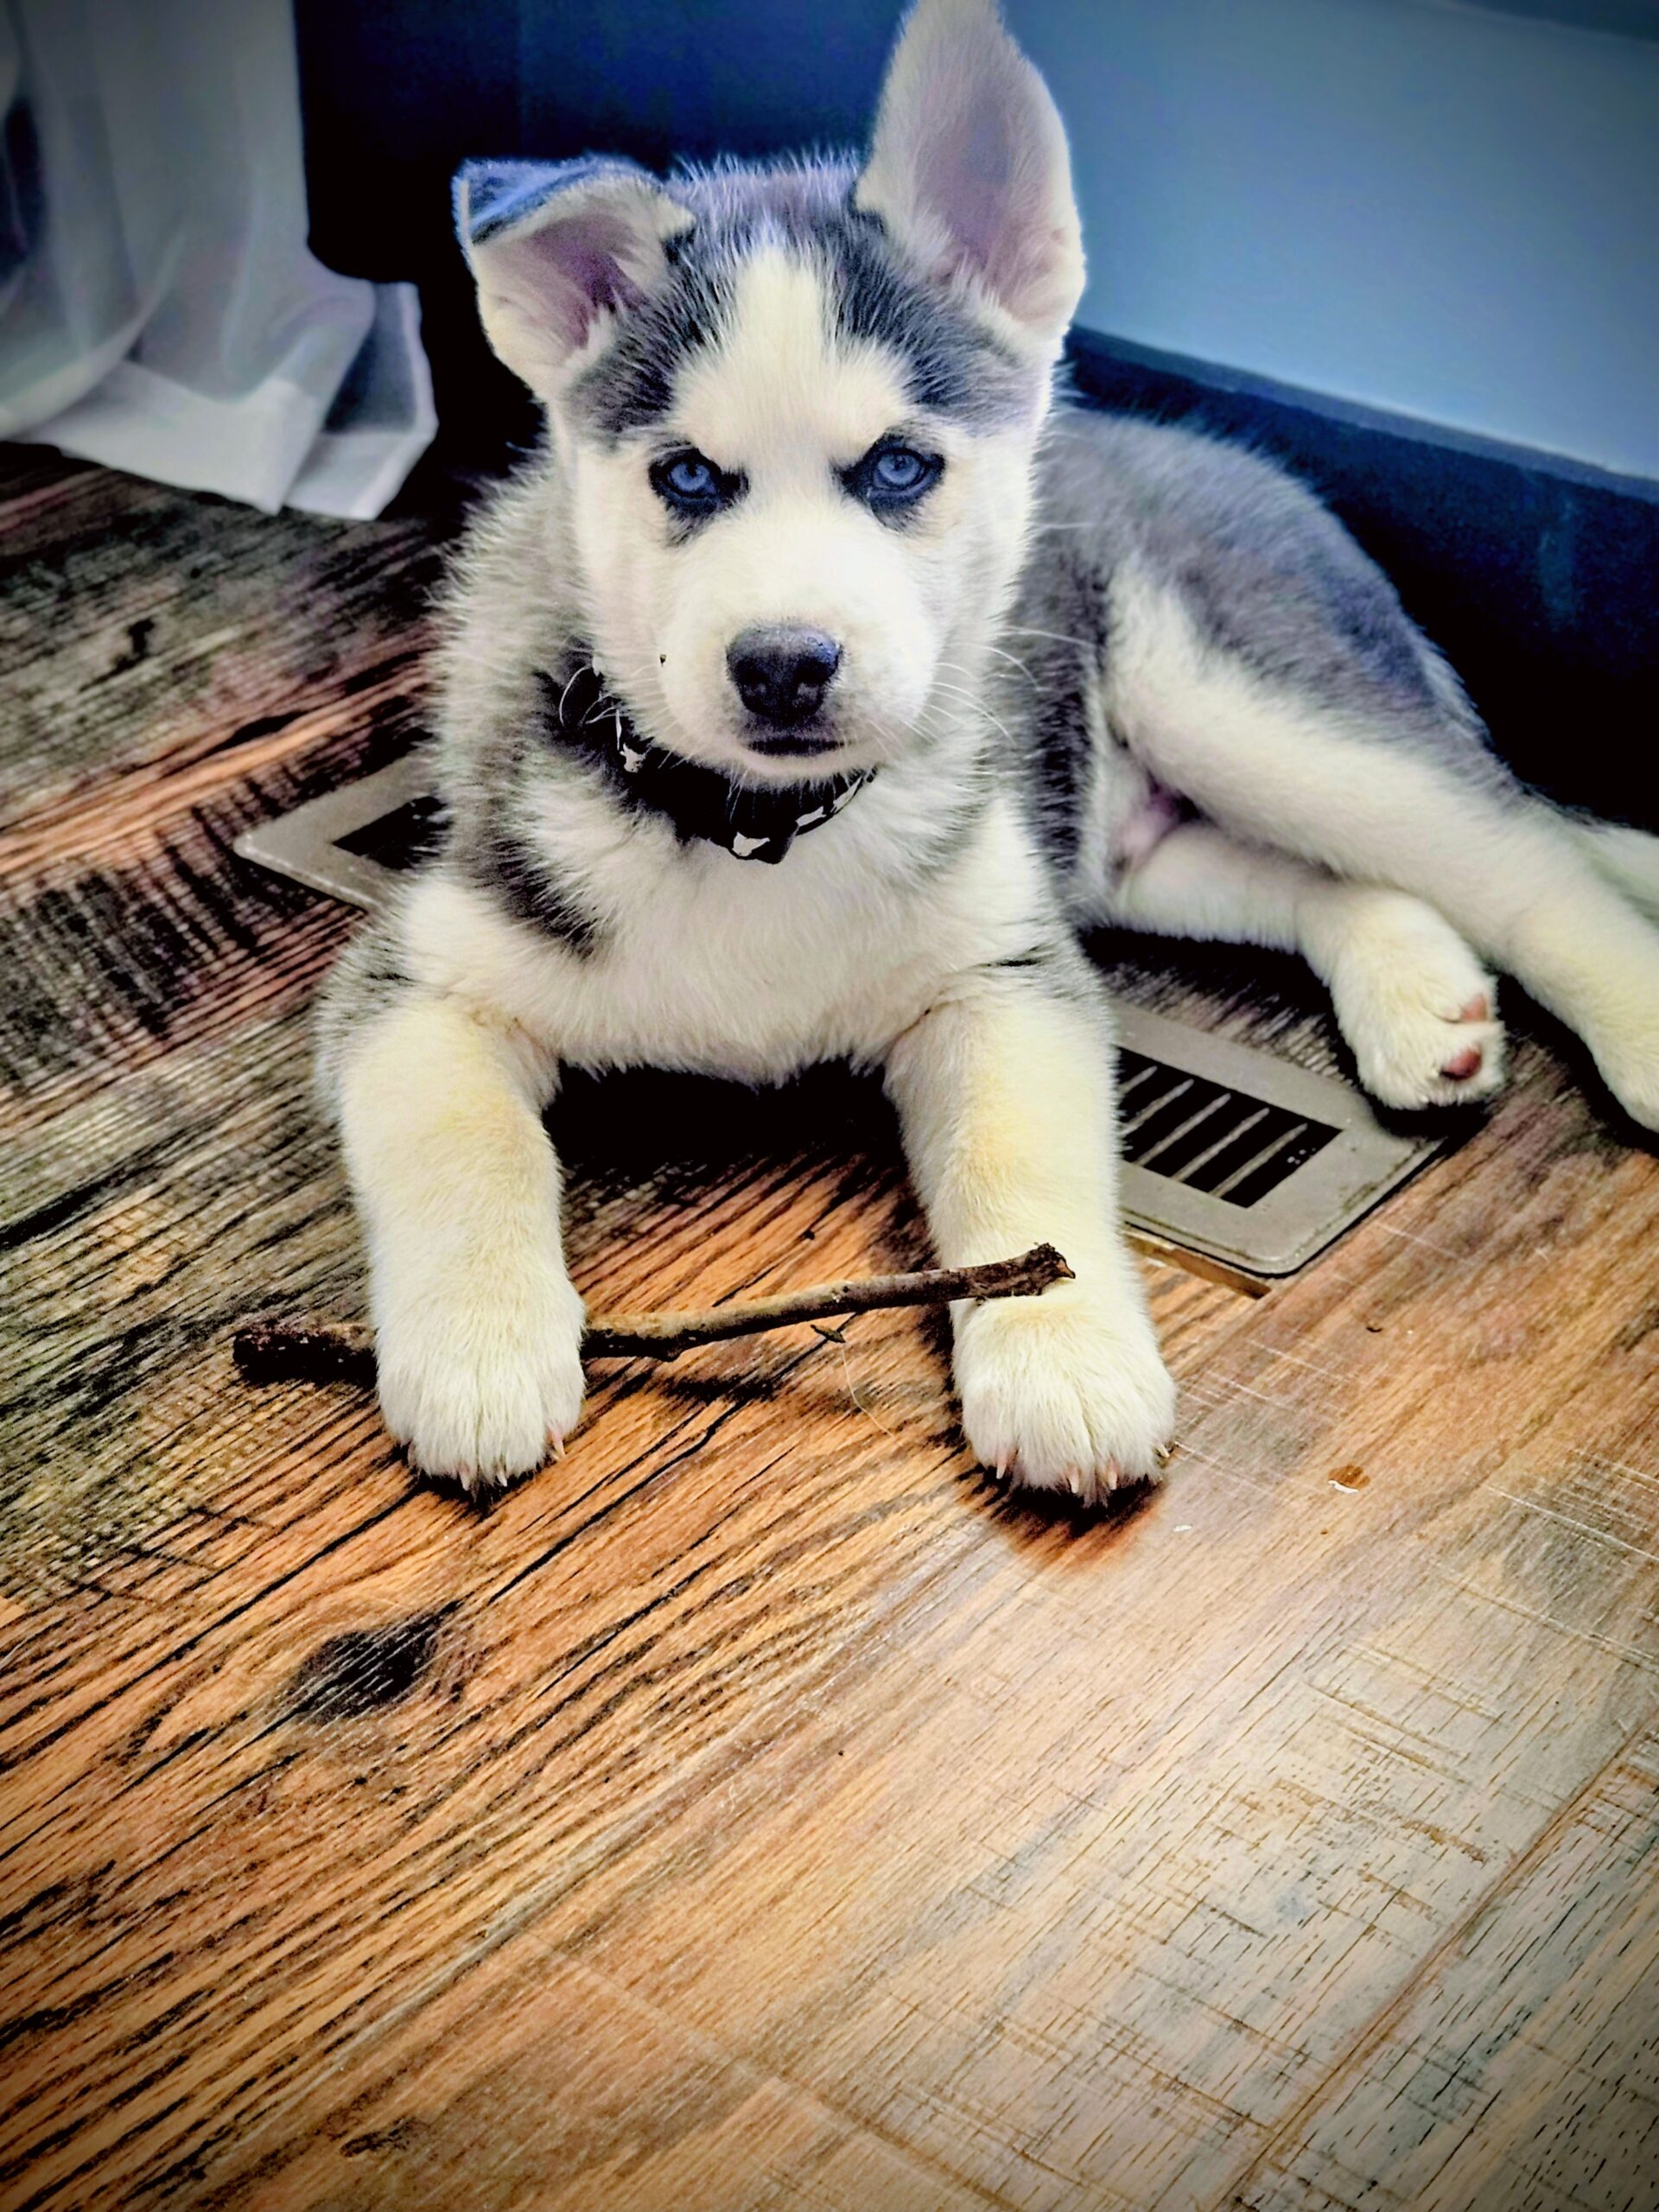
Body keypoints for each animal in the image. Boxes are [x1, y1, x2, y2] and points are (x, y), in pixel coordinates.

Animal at [317, 0, 1659, 1502]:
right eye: (684, 478)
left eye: (899, 468)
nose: (783, 664)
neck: (765, 832)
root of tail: (1219, 453)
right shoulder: (421, 976)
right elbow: (458, 1149)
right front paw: (481, 1348)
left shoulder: (1002, 976)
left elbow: (1022, 1175)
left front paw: (1064, 1363)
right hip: (1124, 846)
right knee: (1333, 872)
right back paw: (1422, 998)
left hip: (1240, 706)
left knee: (1525, 856)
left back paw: (1632, 1024)